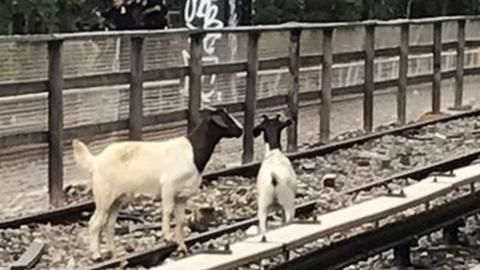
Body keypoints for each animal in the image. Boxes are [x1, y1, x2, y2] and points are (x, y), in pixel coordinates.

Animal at [71, 107, 244, 260]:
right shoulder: (168, 186)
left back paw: (112, 253)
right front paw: (167, 237)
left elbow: (181, 220)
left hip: (117, 199)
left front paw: (182, 247)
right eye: (226, 119)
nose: (241, 130)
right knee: (95, 223)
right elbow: (167, 211)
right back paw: (96, 255)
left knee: (109, 224)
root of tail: (96, 160)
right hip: (104, 195)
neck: (193, 153)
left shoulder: (182, 196)